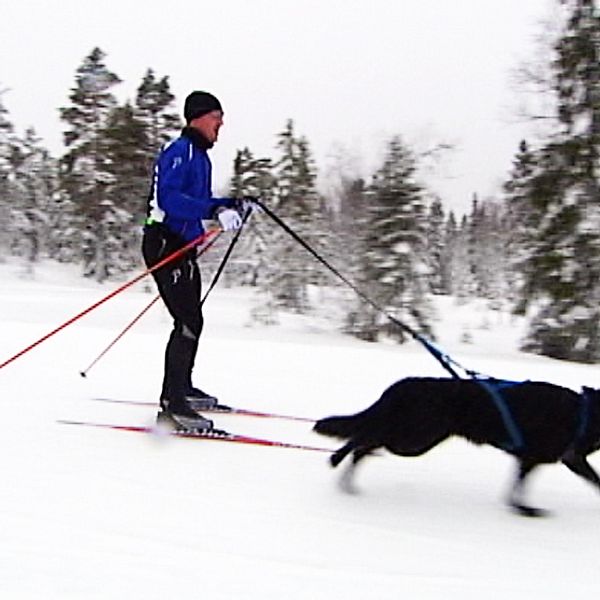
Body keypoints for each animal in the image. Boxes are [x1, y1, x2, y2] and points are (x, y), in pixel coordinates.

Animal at [314, 380, 600, 516]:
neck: (583, 412)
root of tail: (400, 386)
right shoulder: (540, 458)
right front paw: (526, 511)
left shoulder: (547, 460)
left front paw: (522, 508)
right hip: (412, 438)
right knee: (364, 435)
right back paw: (336, 460)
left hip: (410, 437)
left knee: (365, 443)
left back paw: (346, 479)